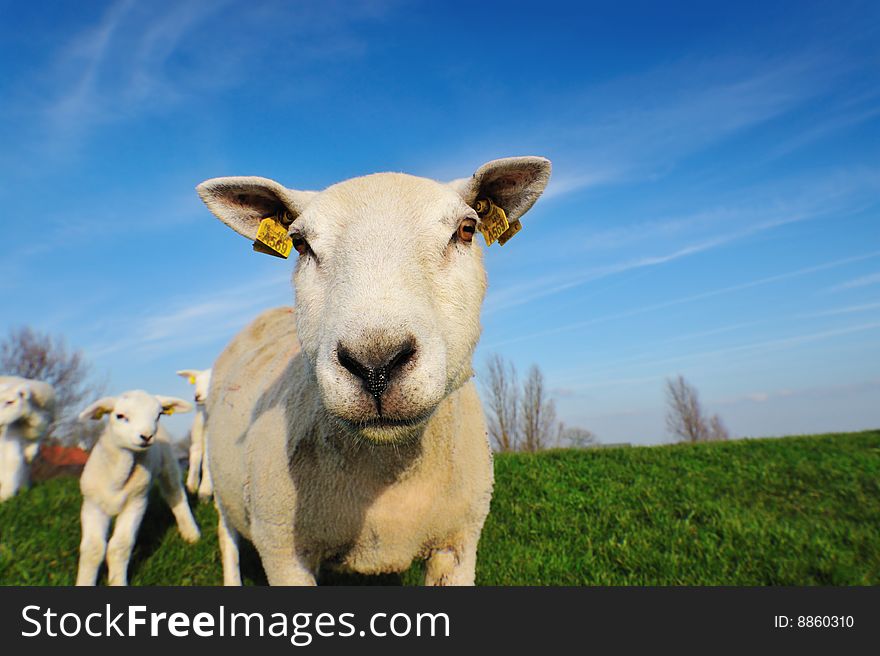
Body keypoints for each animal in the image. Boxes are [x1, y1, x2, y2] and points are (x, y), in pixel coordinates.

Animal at [0, 374, 55, 502]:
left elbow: (32, 451)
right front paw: (5, 495)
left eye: (10, 402)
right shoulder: (11, 436)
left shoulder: (41, 431)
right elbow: (13, 460)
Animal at [76, 390, 201, 584]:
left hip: (168, 465)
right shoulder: (92, 505)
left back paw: (191, 533)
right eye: (120, 416)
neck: (117, 479)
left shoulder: (136, 502)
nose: (147, 436)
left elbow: (119, 547)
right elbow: (93, 550)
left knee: (175, 495)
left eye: (158, 415)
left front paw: (117, 581)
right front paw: (85, 582)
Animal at [177, 366, 213, 500]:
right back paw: (192, 486)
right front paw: (205, 491)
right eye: (196, 382)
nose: (197, 396)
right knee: (196, 452)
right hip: (198, 429)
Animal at [198, 156, 552, 588]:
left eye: (466, 230)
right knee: (226, 535)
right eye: (300, 244)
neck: (388, 471)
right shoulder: (282, 550)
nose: (376, 365)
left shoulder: (458, 542)